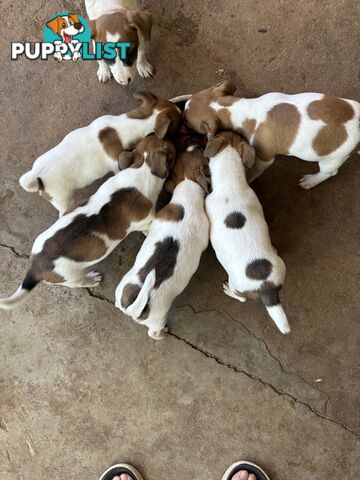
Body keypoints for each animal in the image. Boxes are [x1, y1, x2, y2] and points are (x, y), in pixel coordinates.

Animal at [0, 135, 175, 312]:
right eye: (170, 149)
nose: (159, 134)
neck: (143, 168)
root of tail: (35, 268)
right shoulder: (145, 222)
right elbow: (147, 228)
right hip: (71, 277)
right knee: (77, 283)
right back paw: (91, 279)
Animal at [115, 146, 210, 338]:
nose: (198, 145)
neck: (188, 187)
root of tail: (135, 309)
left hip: (120, 290)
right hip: (157, 320)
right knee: (154, 333)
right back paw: (163, 333)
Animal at [180, 80, 360, 189]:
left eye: (187, 123)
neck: (239, 109)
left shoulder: (263, 158)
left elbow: (254, 170)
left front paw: (248, 177)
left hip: (332, 159)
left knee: (329, 172)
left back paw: (311, 181)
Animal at [204, 131, 292, 334]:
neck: (231, 183)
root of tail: (266, 287)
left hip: (235, 282)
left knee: (242, 298)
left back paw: (229, 291)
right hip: (281, 266)